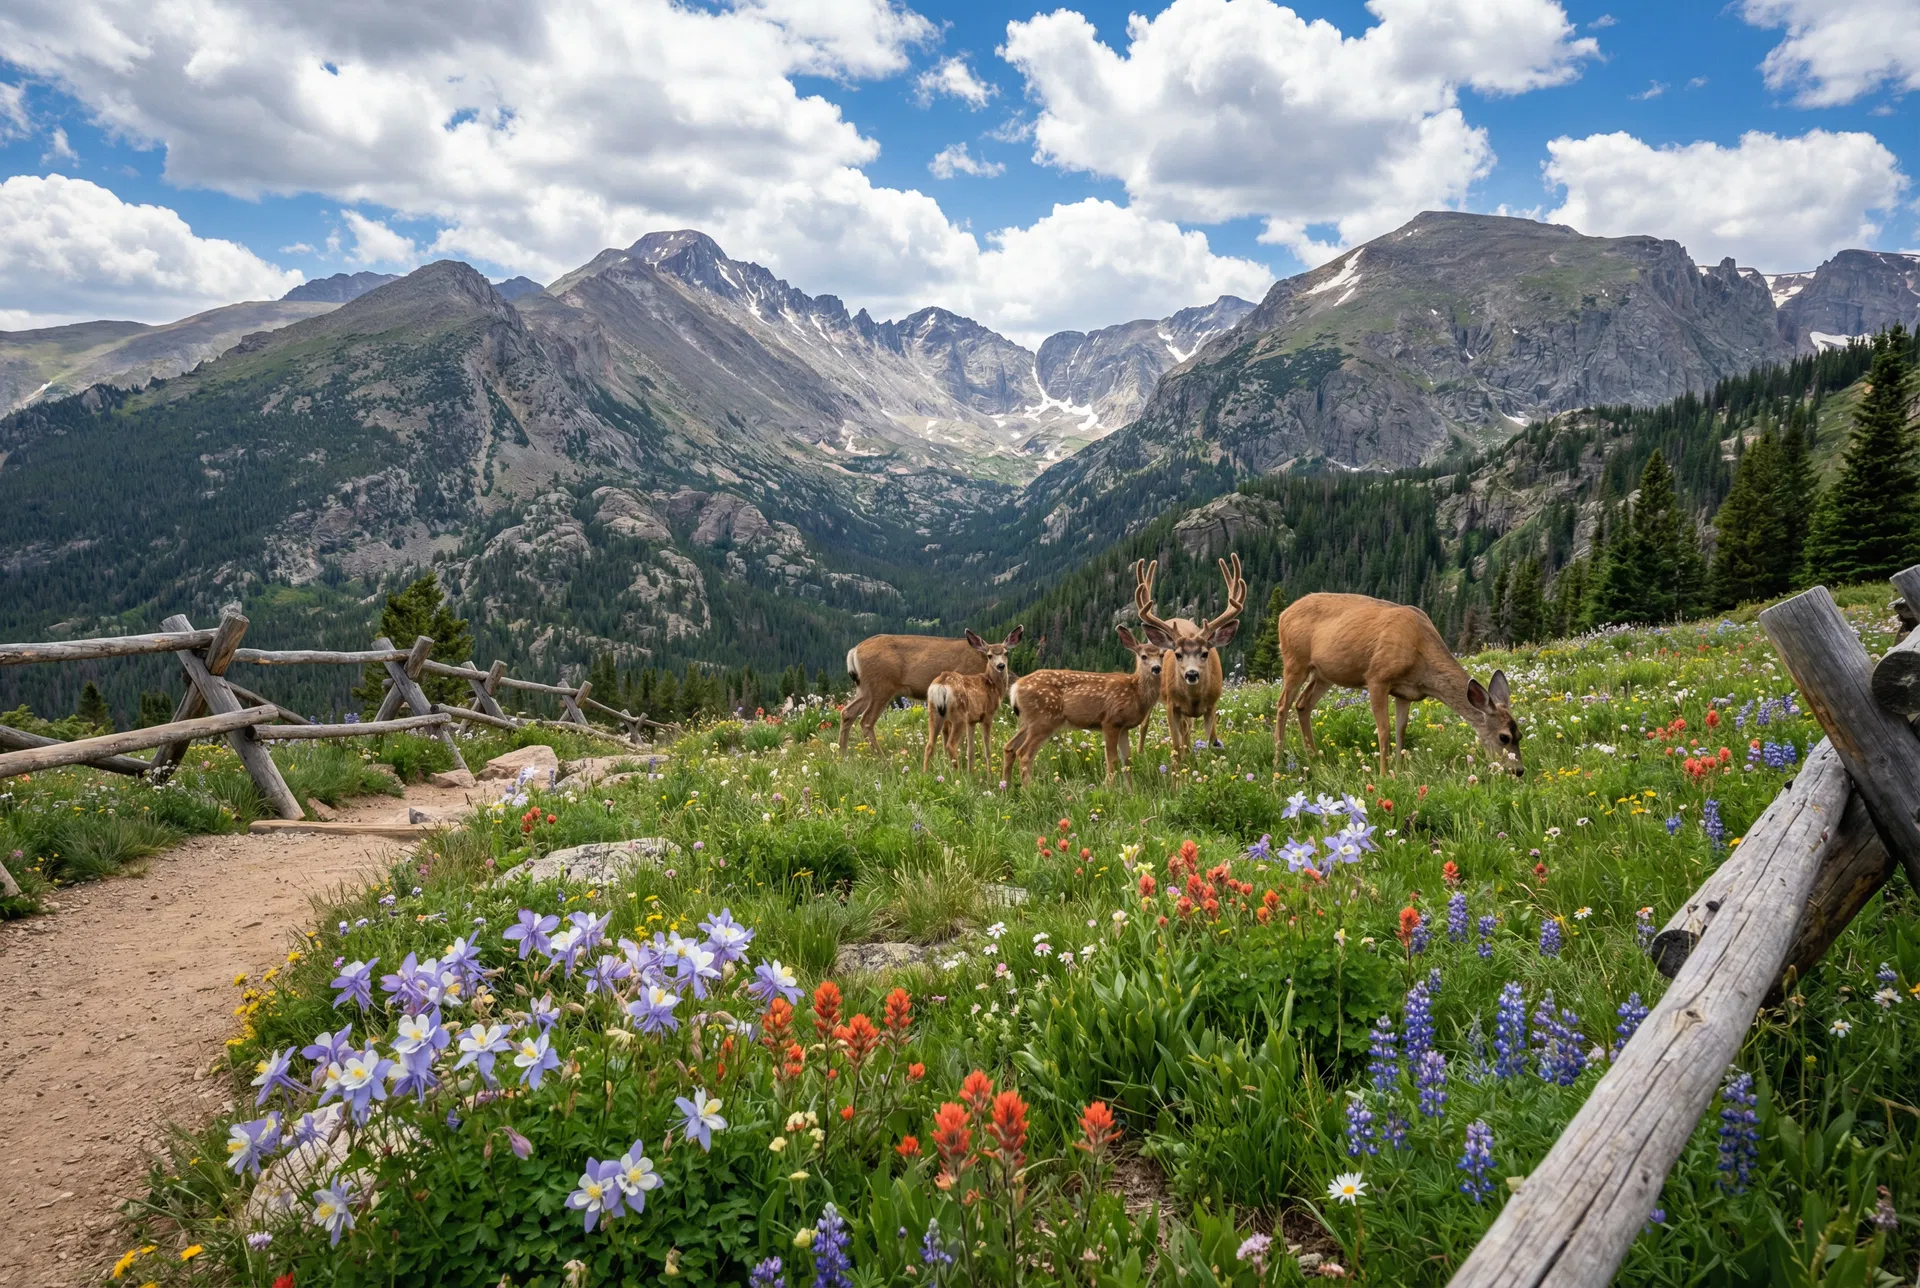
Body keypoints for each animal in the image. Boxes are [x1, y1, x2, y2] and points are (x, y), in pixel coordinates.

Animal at [840, 626, 1023, 753]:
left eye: (1007, 653)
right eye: (990, 655)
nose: (1001, 666)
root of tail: (854, 650)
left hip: (864, 688)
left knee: (847, 712)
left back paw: (843, 756)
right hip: (881, 686)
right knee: (866, 720)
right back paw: (883, 759)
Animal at [923, 631, 1017, 773]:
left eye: (1006, 653)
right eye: (989, 655)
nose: (1001, 666)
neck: (993, 686)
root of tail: (941, 684)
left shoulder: (971, 720)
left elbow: (970, 751)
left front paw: (970, 773)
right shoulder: (988, 715)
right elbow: (987, 750)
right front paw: (989, 774)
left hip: (934, 711)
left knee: (929, 745)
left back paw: (925, 773)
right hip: (959, 715)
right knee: (951, 745)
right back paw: (957, 773)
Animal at [1001, 620, 1165, 786]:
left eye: (1161, 655)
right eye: (1143, 656)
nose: (1156, 668)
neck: (1136, 692)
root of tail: (1016, 687)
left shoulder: (1124, 727)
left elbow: (1127, 761)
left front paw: (1130, 790)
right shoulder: (1111, 721)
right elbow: (1112, 759)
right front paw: (1109, 787)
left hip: (1029, 721)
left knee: (1009, 747)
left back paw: (1006, 787)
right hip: (1044, 719)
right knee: (1024, 753)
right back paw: (1028, 788)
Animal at [1134, 554, 1246, 763]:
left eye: (1205, 653)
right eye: (1178, 654)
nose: (1191, 674)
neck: (1194, 699)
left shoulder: (1212, 705)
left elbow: (1211, 741)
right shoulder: (1172, 706)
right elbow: (1175, 748)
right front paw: (1178, 771)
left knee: (1187, 728)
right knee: (1144, 724)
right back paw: (1138, 754)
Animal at [1272, 592, 1522, 779]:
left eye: (1519, 735)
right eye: (1504, 737)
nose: (1518, 770)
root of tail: (1282, 615)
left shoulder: (1405, 693)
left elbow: (1401, 731)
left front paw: (1400, 772)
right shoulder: (1377, 678)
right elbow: (1384, 731)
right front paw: (1383, 775)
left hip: (1324, 674)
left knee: (1303, 704)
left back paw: (1314, 759)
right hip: (1295, 660)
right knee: (1283, 704)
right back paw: (1278, 760)